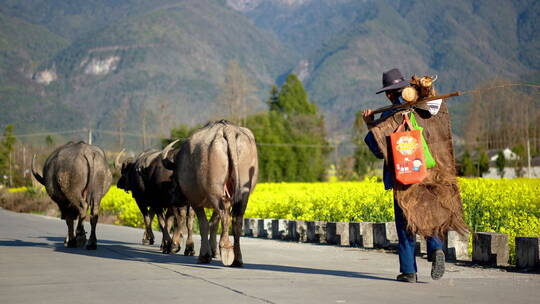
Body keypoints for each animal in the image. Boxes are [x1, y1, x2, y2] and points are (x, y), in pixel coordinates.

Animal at [161, 120, 258, 266]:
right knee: (237, 221)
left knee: (224, 215)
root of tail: (227, 129)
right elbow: (213, 224)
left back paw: (226, 249)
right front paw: (212, 251)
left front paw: (205, 255)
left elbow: (203, 224)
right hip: (242, 194)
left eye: (173, 176)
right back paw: (237, 259)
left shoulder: (195, 201)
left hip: (215, 192)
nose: (172, 198)